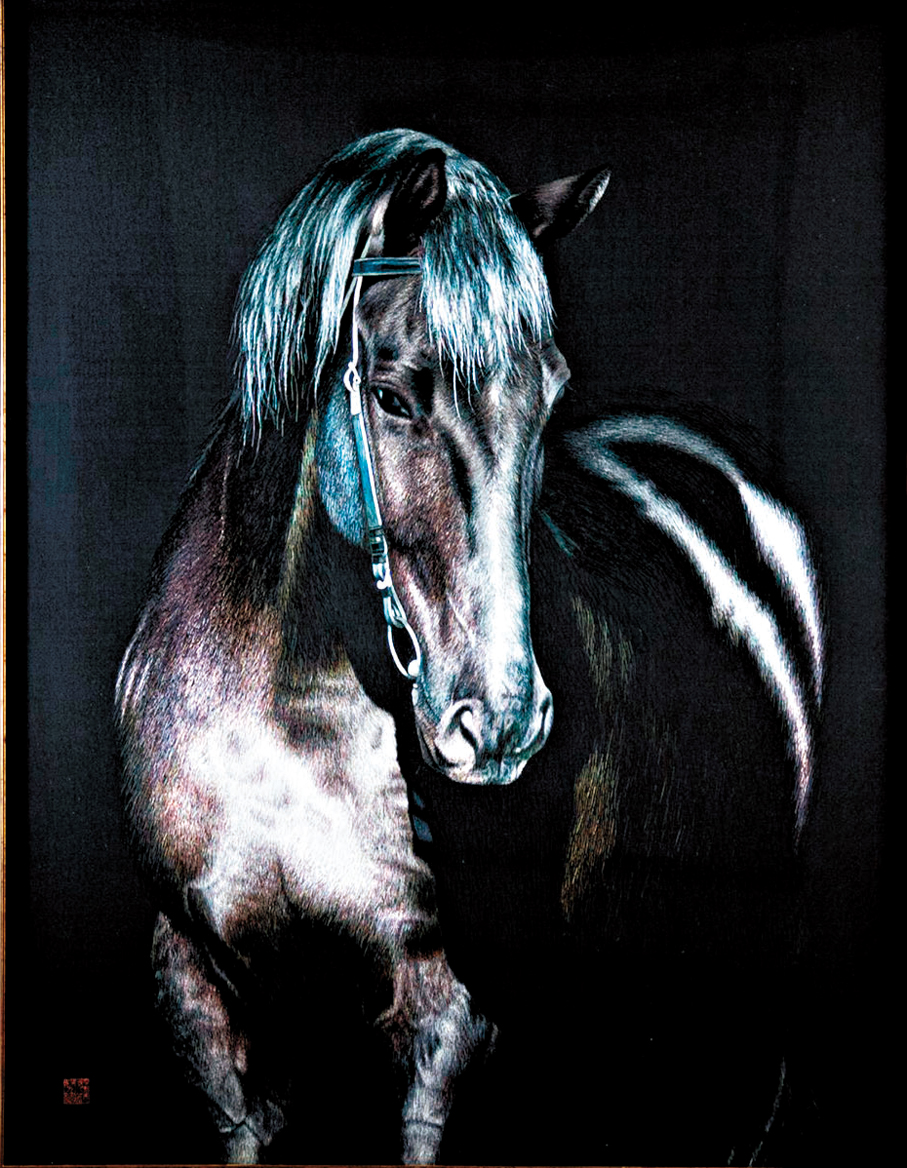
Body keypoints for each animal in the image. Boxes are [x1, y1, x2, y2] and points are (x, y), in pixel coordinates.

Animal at [116, 128, 822, 1164]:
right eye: (390, 395)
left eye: (548, 392)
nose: (498, 726)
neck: (287, 723)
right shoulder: (199, 1001)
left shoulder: (449, 1022)